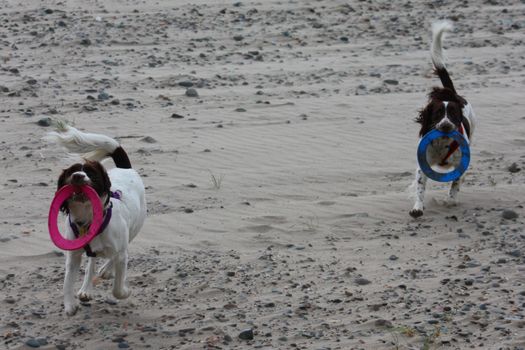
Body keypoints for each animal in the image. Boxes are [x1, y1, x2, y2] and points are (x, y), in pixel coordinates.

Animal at [46, 126, 146, 318]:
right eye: (71, 172)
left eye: (91, 173)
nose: (78, 175)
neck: (88, 220)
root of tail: (125, 168)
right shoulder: (73, 255)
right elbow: (67, 281)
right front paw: (70, 305)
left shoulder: (121, 252)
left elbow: (117, 288)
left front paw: (125, 291)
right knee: (91, 262)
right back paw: (86, 289)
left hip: (134, 229)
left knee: (117, 254)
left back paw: (106, 270)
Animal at [410, 20, 474, 217]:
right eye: (437, 113)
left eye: (453, 114)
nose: (446, 125)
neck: (442, 142)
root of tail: (451, 93)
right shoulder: (422, 165)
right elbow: (420, 188)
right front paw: (417, 208)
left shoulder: (460, 165)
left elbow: (455, 185)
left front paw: (450, 201)